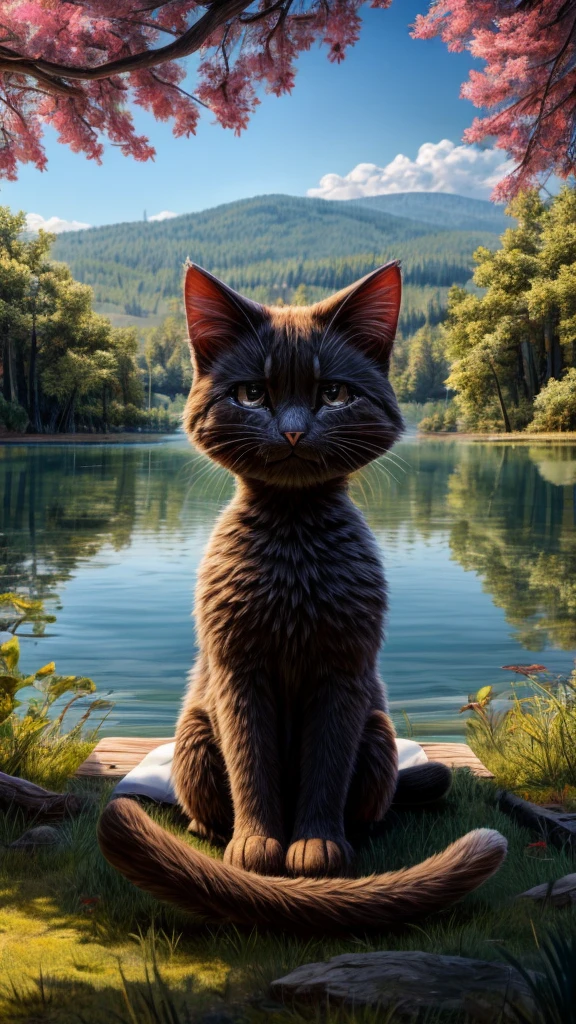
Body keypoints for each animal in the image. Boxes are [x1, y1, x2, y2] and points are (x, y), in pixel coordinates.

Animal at [97, 260, 502, 933]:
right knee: (208, 797)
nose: (290, 430)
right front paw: (256, 847)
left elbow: (325, 766)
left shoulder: (343, 670)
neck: (292, 541)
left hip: (378, 733)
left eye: (333, 394)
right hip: (195, 734)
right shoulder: (238, 669)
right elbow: (251, 761)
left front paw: (315, 848)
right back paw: (208, 828)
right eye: (251, 395)